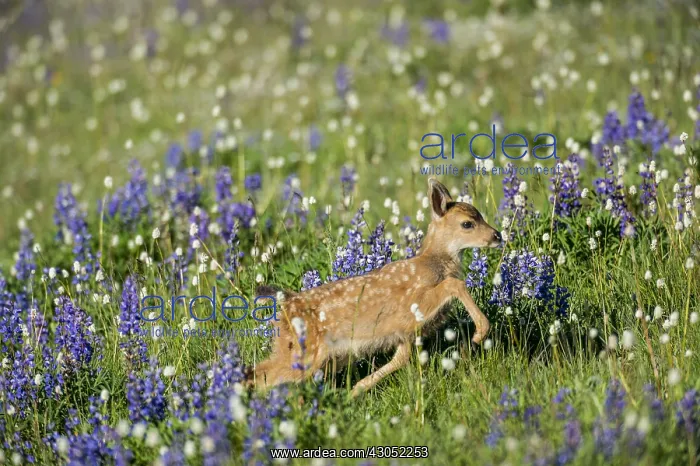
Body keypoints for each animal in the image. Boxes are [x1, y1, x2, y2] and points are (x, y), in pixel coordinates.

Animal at [248, 177, 502, 397]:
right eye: (467, 223)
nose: (497, 235)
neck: (433, 263)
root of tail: (285, 304)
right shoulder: (412, 306)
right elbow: (454, 283)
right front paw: (479, 333)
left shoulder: (406, 334)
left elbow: (400, 359)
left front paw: (355, 391)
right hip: (304, 351)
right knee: (261, 376)